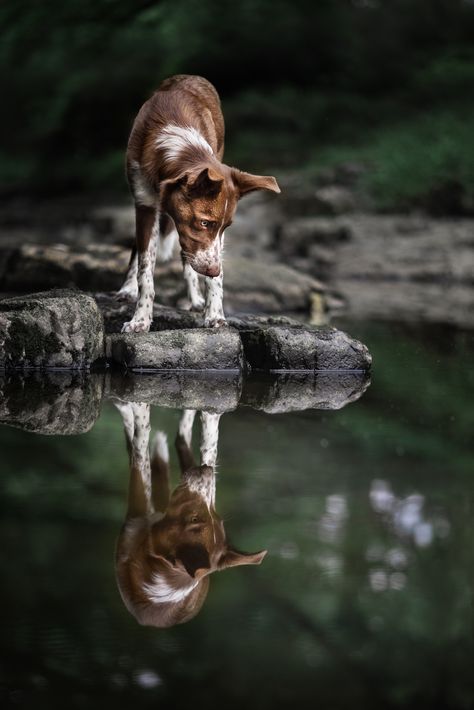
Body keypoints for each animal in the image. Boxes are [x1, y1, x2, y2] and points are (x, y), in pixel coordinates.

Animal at [113, 404, 264, 632]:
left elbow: (140, 446)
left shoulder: (135, 513)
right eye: (196, 519)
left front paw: (135, 408)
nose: (207, 471)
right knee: (184, 439)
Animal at [118, 76, 280, 332]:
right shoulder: (144, 205)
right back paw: (128, 288)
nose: (213, 270)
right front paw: (140, 319)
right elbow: (146, 272)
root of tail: (188, 76)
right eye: (204, 223)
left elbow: (214, 276)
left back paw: (195, 299)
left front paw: (214, 314)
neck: (182, 151)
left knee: (187, 257)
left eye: (226, 226)